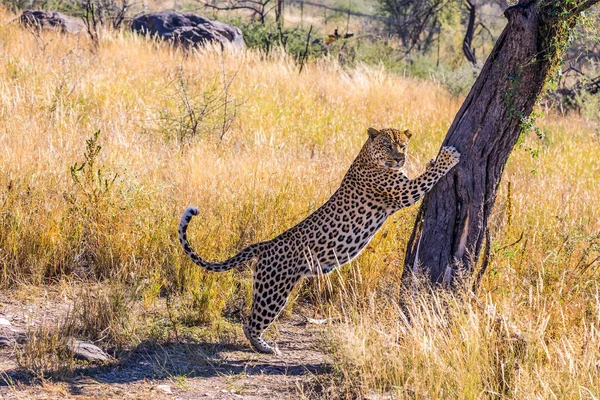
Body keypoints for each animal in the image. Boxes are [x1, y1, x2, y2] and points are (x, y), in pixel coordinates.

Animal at [177, 126, 460, 354]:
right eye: (387, 145)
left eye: (403, 145)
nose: (400, 158)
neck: (367, 156)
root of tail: (266, 244)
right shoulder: (403, 193)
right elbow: (429, 177)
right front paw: (448, 157)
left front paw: (432, 159)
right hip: (274, 291)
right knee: (251, 323)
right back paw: (266, 348)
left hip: (266, 286)